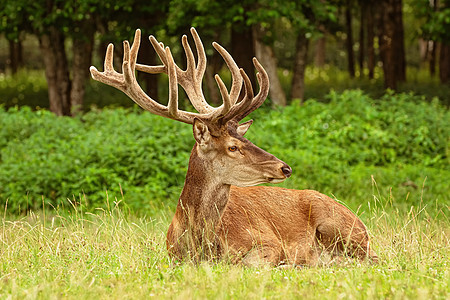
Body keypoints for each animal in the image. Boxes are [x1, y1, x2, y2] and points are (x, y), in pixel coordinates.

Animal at [89, 28, 378, 268]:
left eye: (247, 140)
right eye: (233, 146)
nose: (284, 167)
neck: (201, 246)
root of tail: (362, 225)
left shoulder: (268, 242)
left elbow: (250, 264)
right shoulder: (171, 256)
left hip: (337, 225)